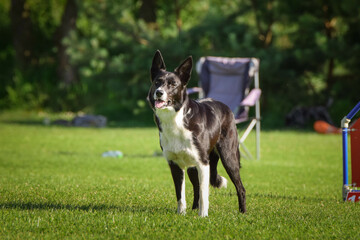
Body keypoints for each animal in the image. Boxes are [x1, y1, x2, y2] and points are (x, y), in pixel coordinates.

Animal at [148, 49, 246, 217]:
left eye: (173, 84)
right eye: (157, 82)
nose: (159, 93)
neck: (177, 119)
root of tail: (225, 106)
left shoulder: (203, 163)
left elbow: (204, 194)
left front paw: (203, 216)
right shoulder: (174, 164)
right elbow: (180, 194)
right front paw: (182, 214)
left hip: (229, 158)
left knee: (240, 188)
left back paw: (243, 212)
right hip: (192, 167)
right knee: (195, 188)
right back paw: (193, 209)